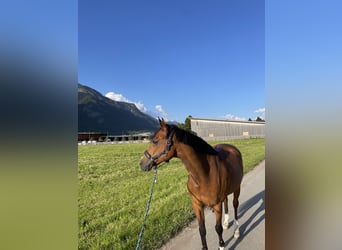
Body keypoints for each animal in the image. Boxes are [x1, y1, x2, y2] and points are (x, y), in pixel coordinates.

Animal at [139, 119, 243, 250]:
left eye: (155, 141)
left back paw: (236, 231)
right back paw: (226, 223)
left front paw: (221, 246)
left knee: (235, 205)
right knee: (226, 202)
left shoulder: (216, 205)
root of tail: (232, 147)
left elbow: (217, 228)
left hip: (237, 188)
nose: (142, 163)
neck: (204, 174)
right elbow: (202, 229)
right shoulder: (196, 204)